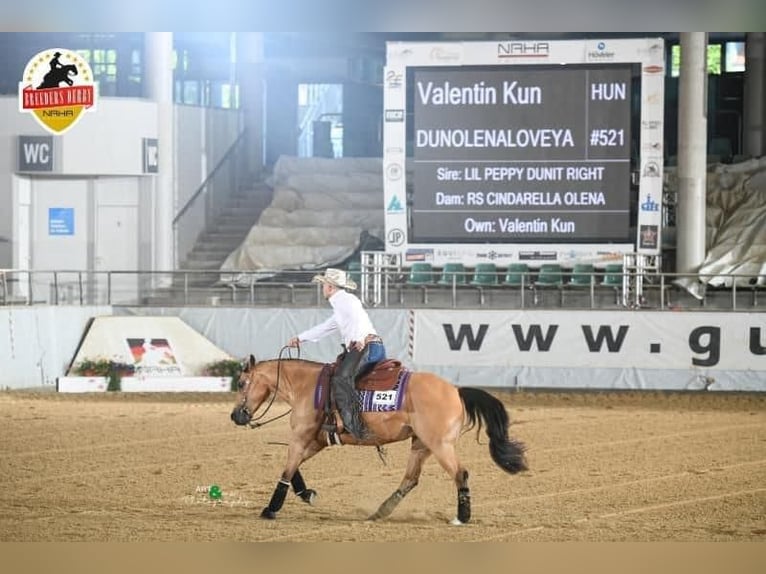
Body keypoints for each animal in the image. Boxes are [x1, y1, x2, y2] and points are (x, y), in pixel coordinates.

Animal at [228, 354, 528, 524]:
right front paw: (307, 494)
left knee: (460, 473)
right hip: (421, 445)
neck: (308, 386)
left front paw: (270, 509)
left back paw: (462, 517)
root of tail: (455, 390)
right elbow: (293, 469)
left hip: (440, 446)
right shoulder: (316, 440)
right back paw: (380, 512)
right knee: (410, 480)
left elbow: (287, 470)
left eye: (241, 383)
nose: (235, 416)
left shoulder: (302, 437)